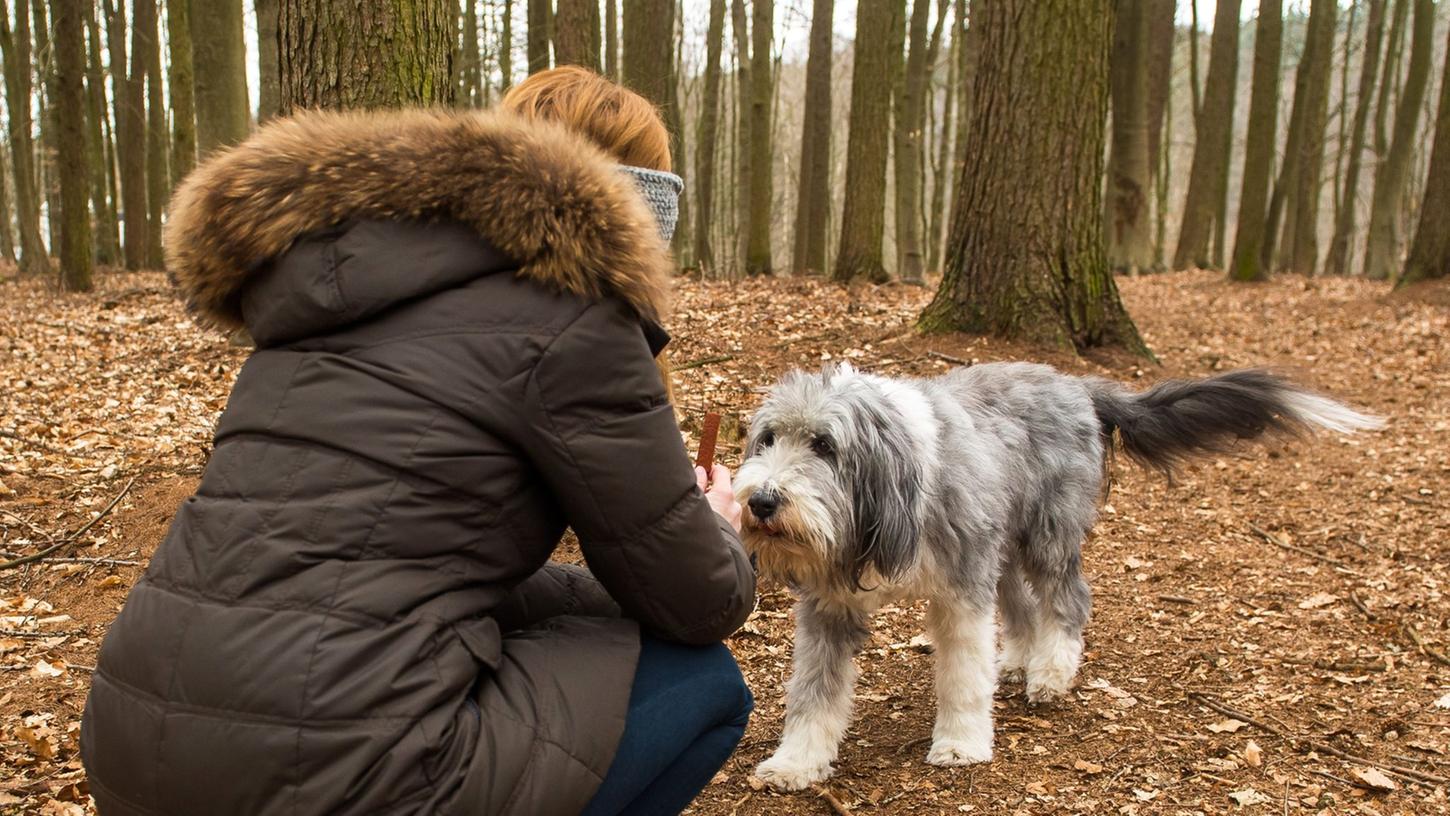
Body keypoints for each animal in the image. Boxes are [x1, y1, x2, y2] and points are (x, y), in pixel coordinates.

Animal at [736, 363, 1380, 794]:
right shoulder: (830, 605)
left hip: (1047, 535)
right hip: (1006, 541)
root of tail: (1076, 383)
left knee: (1068, 601)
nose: (762, 501)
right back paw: (1021, 660)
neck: (893, 483)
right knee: (1022, 605)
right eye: (768, 438)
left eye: (825, 445)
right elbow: (814, 692)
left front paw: (962, 743)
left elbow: (962, 674)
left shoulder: (962, 590)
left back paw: (1050, 672)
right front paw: (796, 763)